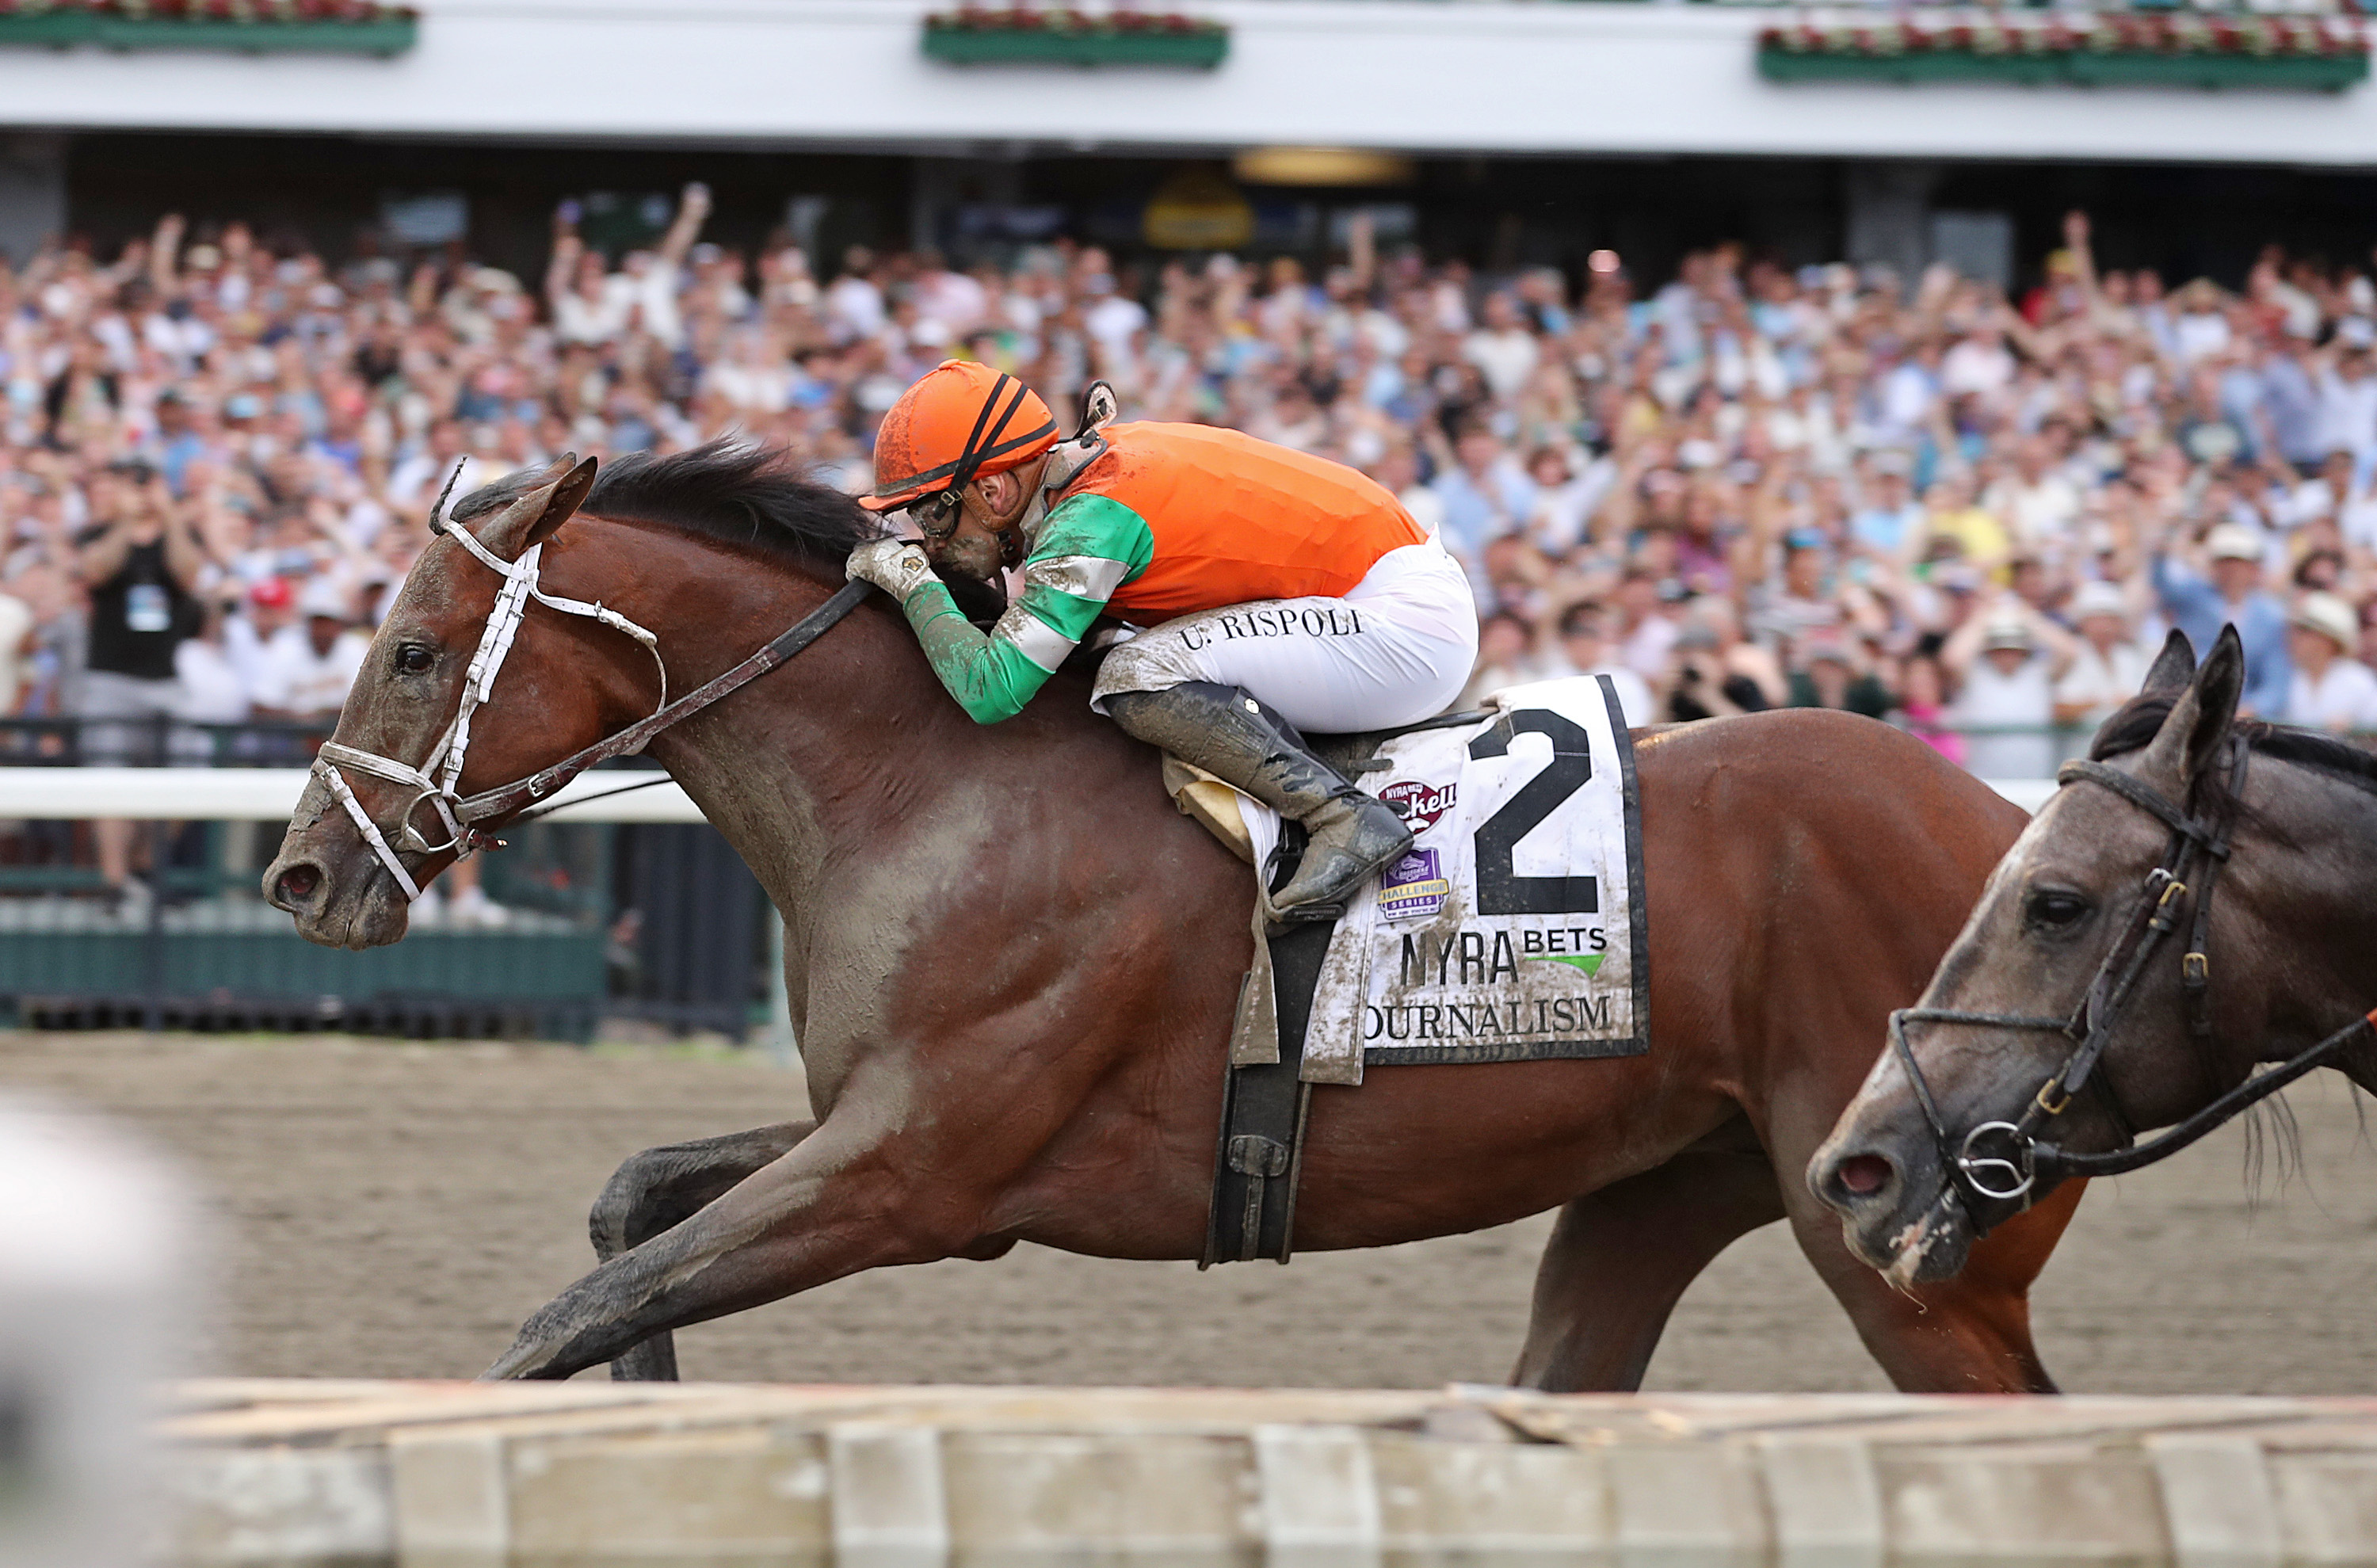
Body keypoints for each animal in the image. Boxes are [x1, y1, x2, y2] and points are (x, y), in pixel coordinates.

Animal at [264, 443, 2083, 1390]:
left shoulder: (917, 1171)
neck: (931, 779)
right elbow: (628, 1217)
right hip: (1673, 1178)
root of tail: (2023, 824)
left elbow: (571, 1308)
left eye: (414, 647)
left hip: (1909, 1257)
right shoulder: (868, 1124)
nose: (299, 876)